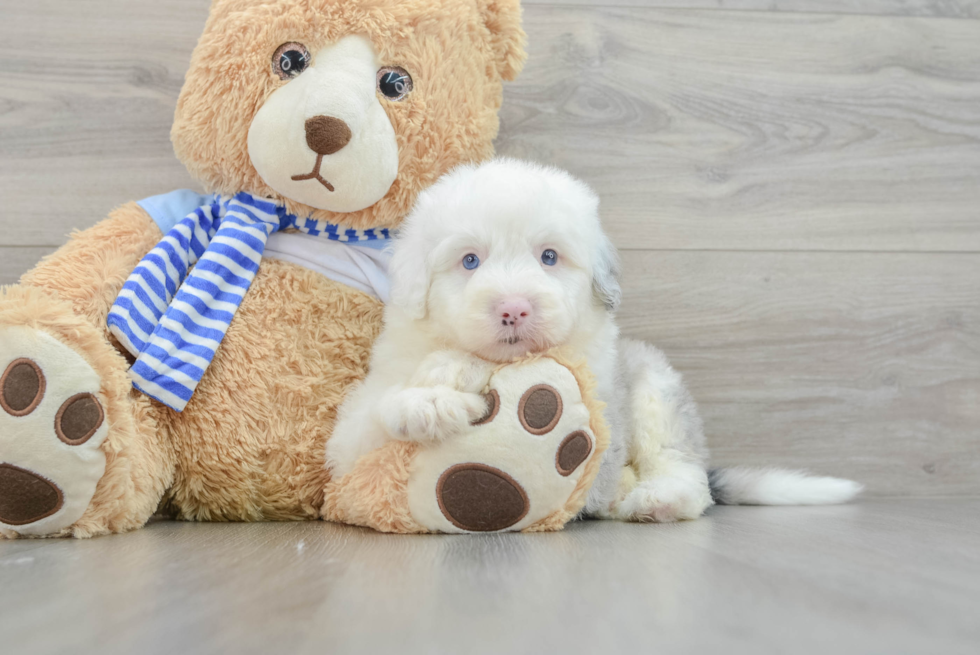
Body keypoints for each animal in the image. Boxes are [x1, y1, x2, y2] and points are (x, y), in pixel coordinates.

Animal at [326, 160, 860, 524]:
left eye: (549, 257)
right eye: (470, 261)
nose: (514, 308)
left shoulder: (600, 397)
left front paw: (452, 375)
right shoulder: (349, 440)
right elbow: (369, 421)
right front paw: (432, 399)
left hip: (654, 387)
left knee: (681, 467)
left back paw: (656, 499)